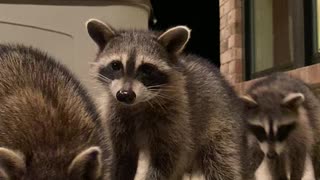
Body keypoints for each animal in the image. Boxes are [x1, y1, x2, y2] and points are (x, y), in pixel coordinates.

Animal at [86, 19, 244, 179]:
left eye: (147, 69)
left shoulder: (176, 119)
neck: (138, 104)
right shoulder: (116, 118)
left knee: (222, 163)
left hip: (221, 129)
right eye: (115, 65)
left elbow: (165, 162)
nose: (124, 94)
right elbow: (123, 159)